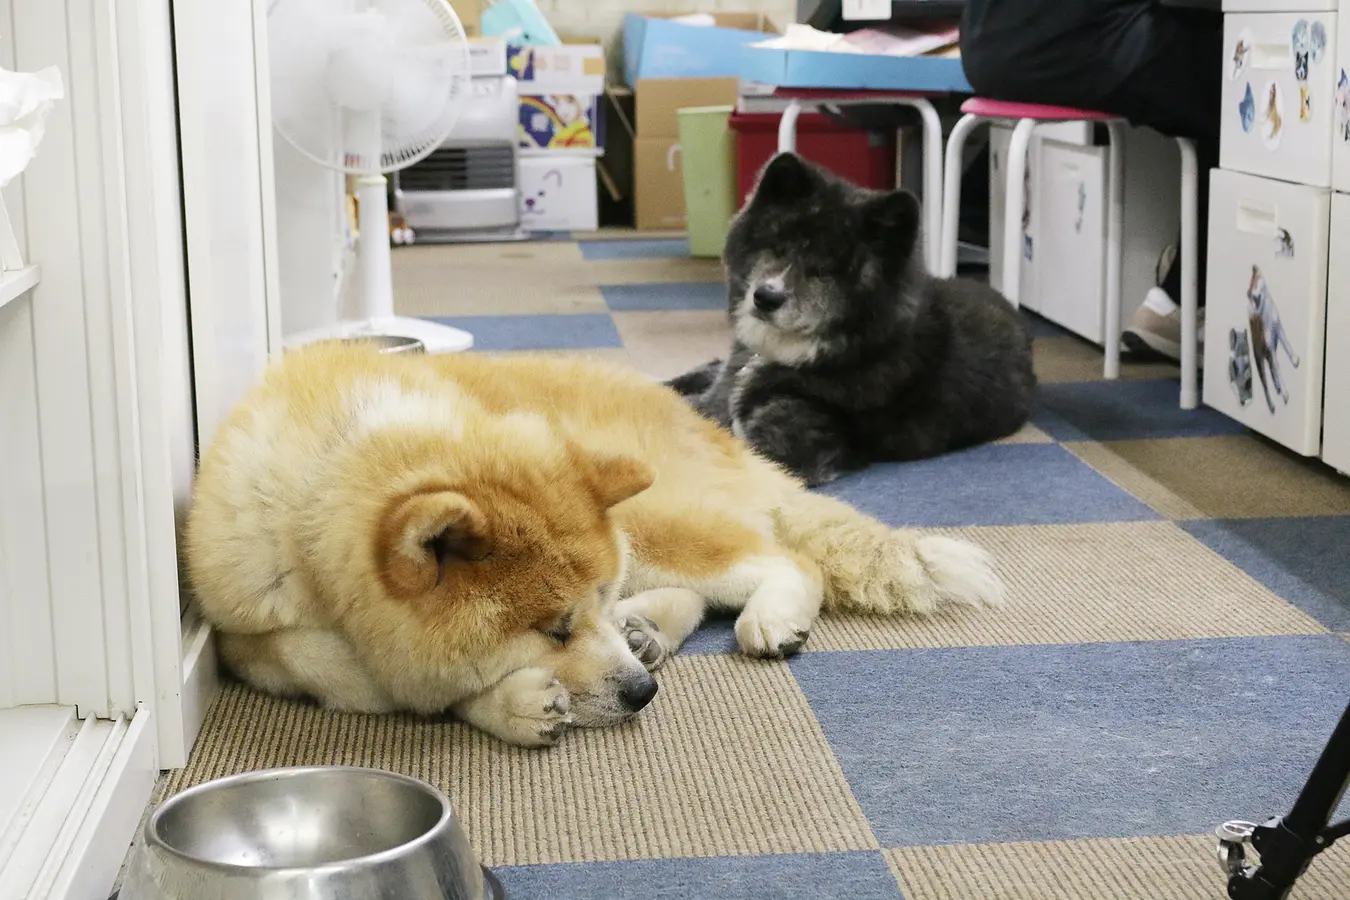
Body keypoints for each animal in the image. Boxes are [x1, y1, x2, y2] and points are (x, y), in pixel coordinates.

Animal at [182, 342, 1004, 744]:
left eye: (581, 614)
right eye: (554, 629)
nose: (644, 695)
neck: (328, 476)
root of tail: (709, 422)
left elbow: (387, 679)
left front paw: (507, 700)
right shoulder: (243, 633)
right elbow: (345, 671)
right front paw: (510, 699)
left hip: (655, 520)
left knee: (782, 559)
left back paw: (765, 619)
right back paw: (648, 631)